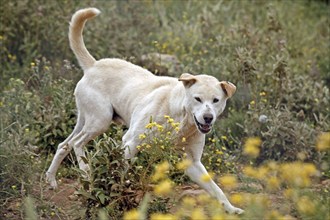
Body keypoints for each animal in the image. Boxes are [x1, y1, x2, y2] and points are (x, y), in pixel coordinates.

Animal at [45, 7, 244, 214]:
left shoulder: (193, 163)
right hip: (100, 121)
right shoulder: (130, 143)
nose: (208, 118)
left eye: (216, 100)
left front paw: (231, 209)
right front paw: (117, 199)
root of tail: (93, 65)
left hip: (87, 121)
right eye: (197, 99)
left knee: (64, 145)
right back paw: (86, 174)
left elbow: (216, 189)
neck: (179, 118)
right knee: (77, 143)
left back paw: (51, 179)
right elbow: (121, 177)